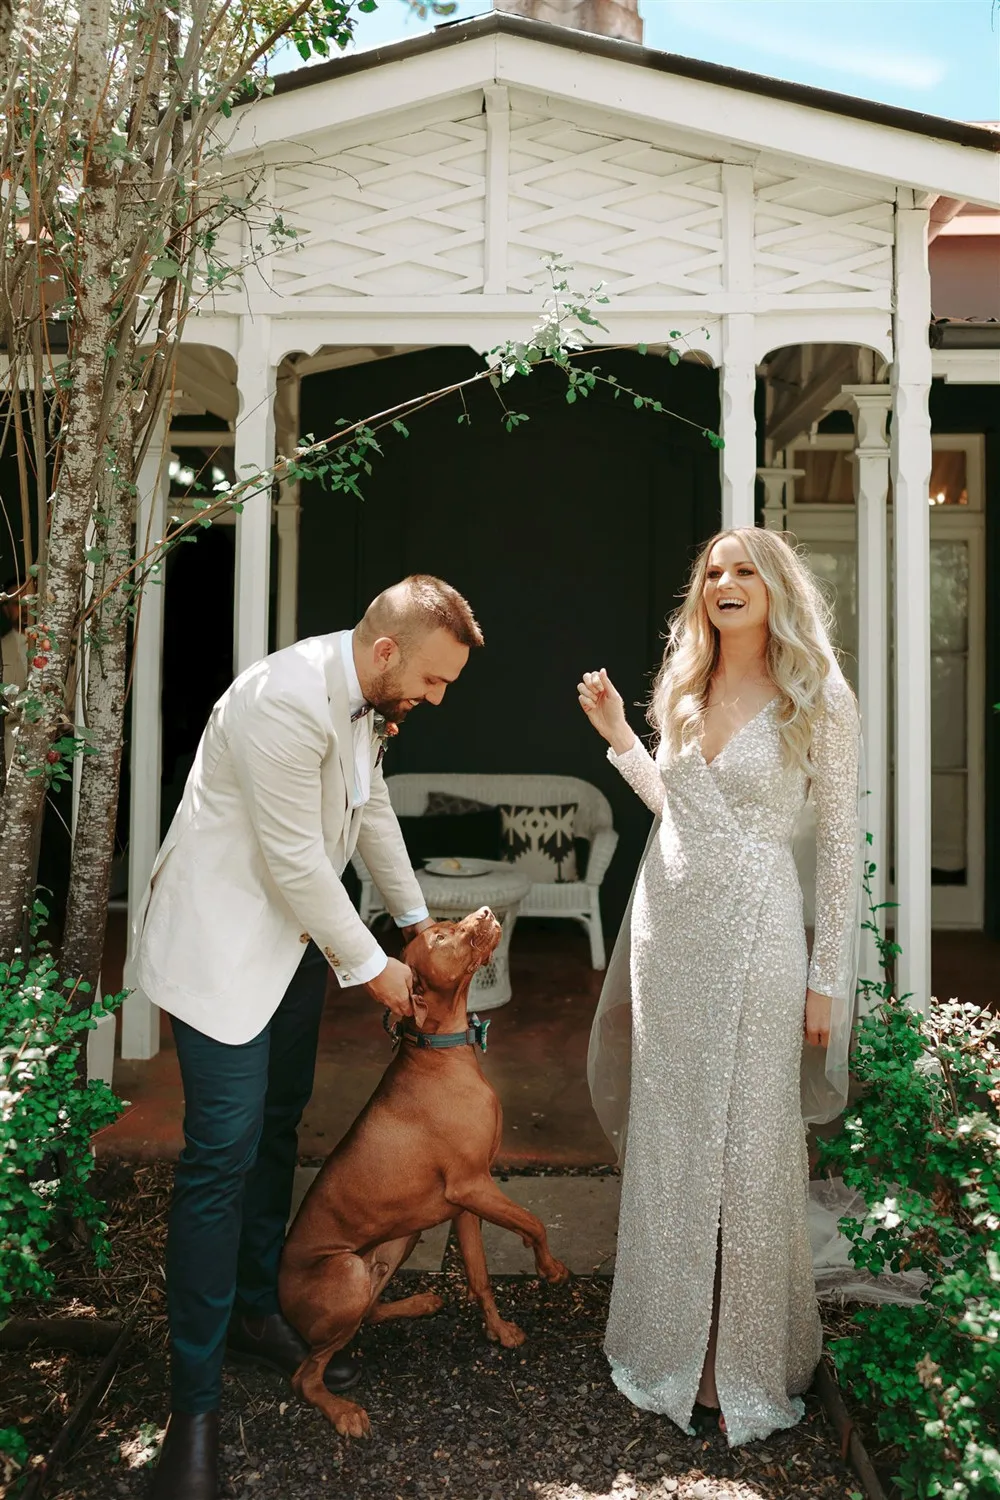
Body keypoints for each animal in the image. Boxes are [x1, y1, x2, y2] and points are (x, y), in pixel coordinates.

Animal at [277, 906, 569, 1434]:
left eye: (443, 925)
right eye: (439, 938)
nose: (487, 912)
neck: (441, 1049)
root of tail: (279, 1298)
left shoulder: (466, 1201)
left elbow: (480, 1276)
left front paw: (498, 1330)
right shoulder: (474, 1185)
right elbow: (533, 1222)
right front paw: (549, 1268)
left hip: (400, 1240)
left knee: (367, 1315)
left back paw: (418, 1303)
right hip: (349, 1270)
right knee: (306, 1375)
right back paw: (343, 1412)